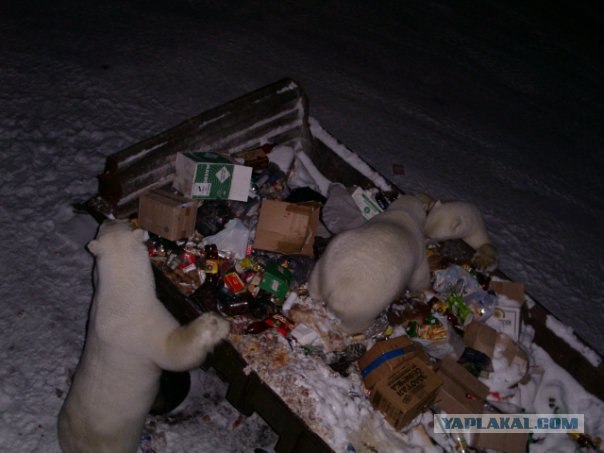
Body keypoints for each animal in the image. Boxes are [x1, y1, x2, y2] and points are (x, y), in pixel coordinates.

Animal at [57, 219, 231, 452]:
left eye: (103, 227)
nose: (110, 219)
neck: (121, 295)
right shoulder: (144, 326)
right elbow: (173, 353)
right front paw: (217, 324)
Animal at [310, 194, 432, 332]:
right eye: (427, 211)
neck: (404, 212)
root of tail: (332, 290)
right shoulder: (418, 247)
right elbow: (420, 274)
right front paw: (424, 288)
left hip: (324, 263)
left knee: (314, 283)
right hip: (363, 306)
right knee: (355, 322)